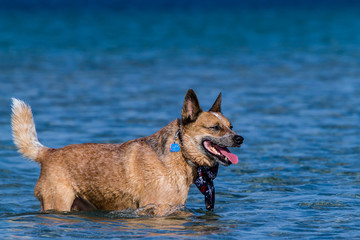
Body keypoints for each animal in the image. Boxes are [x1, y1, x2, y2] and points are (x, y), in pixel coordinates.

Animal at [11, 89, 243, 215]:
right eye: (215, 127)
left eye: (231, 126)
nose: (240, 138)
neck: (180, 154)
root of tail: (48, 153)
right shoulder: (156, 207)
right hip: (58, 202)